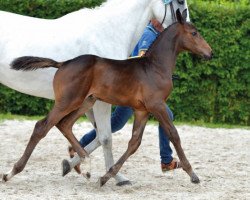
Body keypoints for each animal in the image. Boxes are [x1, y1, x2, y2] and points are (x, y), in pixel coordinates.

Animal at [5, 9, 212, 187]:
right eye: (194, 33)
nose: (210, 53)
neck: (155, 67)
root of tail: (63, 63)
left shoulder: (142, 110)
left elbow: (134, 143)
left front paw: (106, 176)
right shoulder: (157, 105)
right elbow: (173, 134)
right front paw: (193, 174)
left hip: (86, 101)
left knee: (65, 124)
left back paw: (84, 165)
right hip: (67, 101)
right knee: (42, 126)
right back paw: (11, 172)